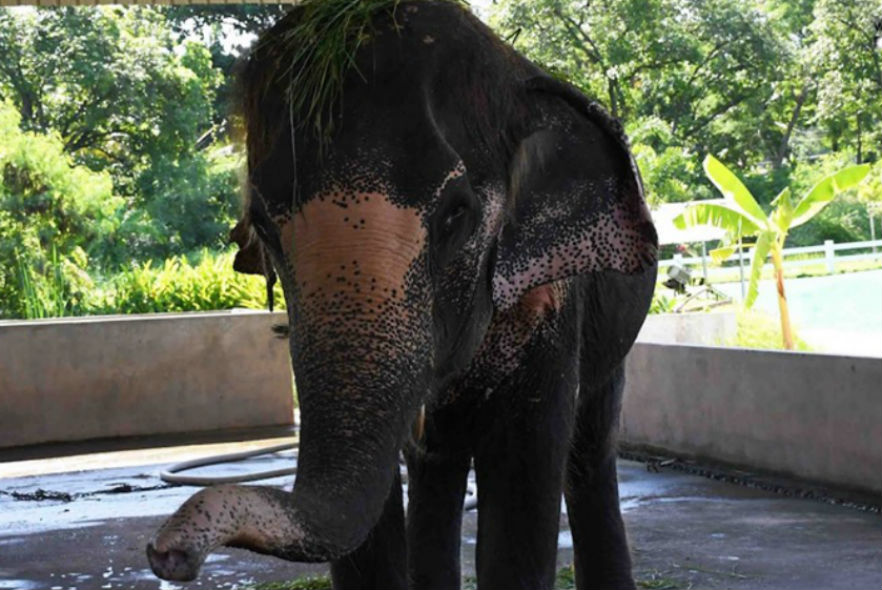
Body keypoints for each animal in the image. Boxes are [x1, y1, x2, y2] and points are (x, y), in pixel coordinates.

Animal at [146, 2, 652, 588]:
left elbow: (523, 482)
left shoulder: (552, 303)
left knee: (589, 454)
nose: (167, 554)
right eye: (265, 226)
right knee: (438, 465)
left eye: (456, 214)